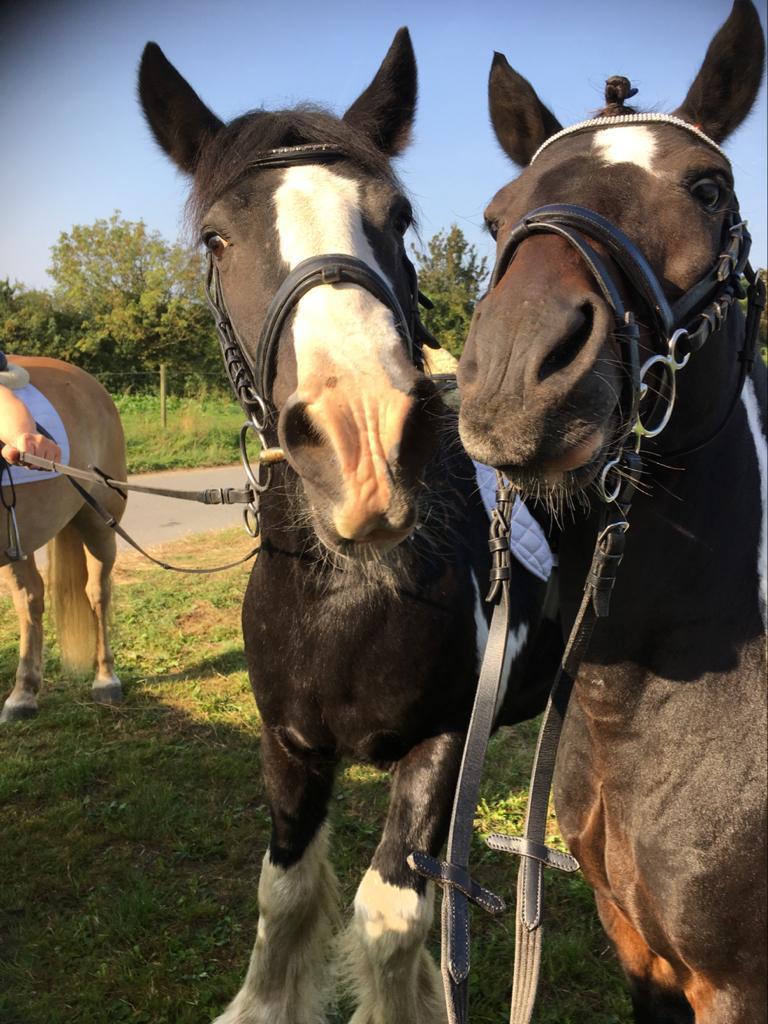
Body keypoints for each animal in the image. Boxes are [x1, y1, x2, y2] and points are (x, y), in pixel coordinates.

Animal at [138, 28, 561, 1019]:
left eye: (398, 217)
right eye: (217, 238)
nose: (363, 444)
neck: (351, 594)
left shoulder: (444, 747)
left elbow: (389, 920)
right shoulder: (289, 745)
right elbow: (286, 895)